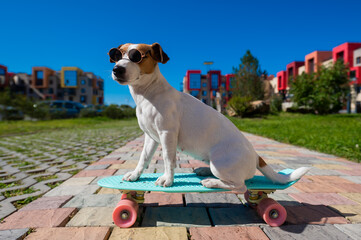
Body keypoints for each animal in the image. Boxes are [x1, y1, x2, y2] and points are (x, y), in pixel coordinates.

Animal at [107, 43, 310, 192]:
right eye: (117, 55)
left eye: (137, 56)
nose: (117, 69)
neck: (148, 93)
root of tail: (256, 156)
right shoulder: (151, 137)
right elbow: (144, 158)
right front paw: (135, 175)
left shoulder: (167, 134)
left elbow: (168, 159)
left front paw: (168, 179)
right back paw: (205, 171)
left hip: (220, 164)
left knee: (239, 186)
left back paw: (212, 182)